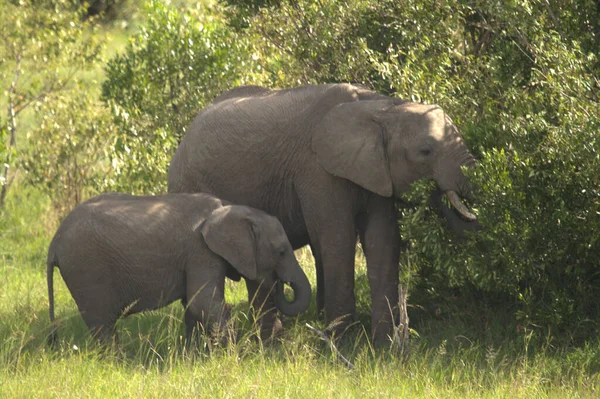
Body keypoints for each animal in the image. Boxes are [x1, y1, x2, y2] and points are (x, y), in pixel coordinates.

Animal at [46, 194, 310, 344]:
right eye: (281, 252)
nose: (279, 282)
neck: (229, 208)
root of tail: (53, 243)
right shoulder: (200, 251)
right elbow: (203, 302)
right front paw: (236, 353)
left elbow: (192, 305)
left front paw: (195, 354)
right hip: (86, 269)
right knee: (102, 324)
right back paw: (116, 362)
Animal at [166, 83, 476, 344]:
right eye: (425, 151)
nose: (440, 193)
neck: (380, 106)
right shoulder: (317, 170)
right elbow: (337, 239)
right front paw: (342, 345)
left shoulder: (375, 170)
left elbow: (383, 240)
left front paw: (383, 346)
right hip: (187, 183)